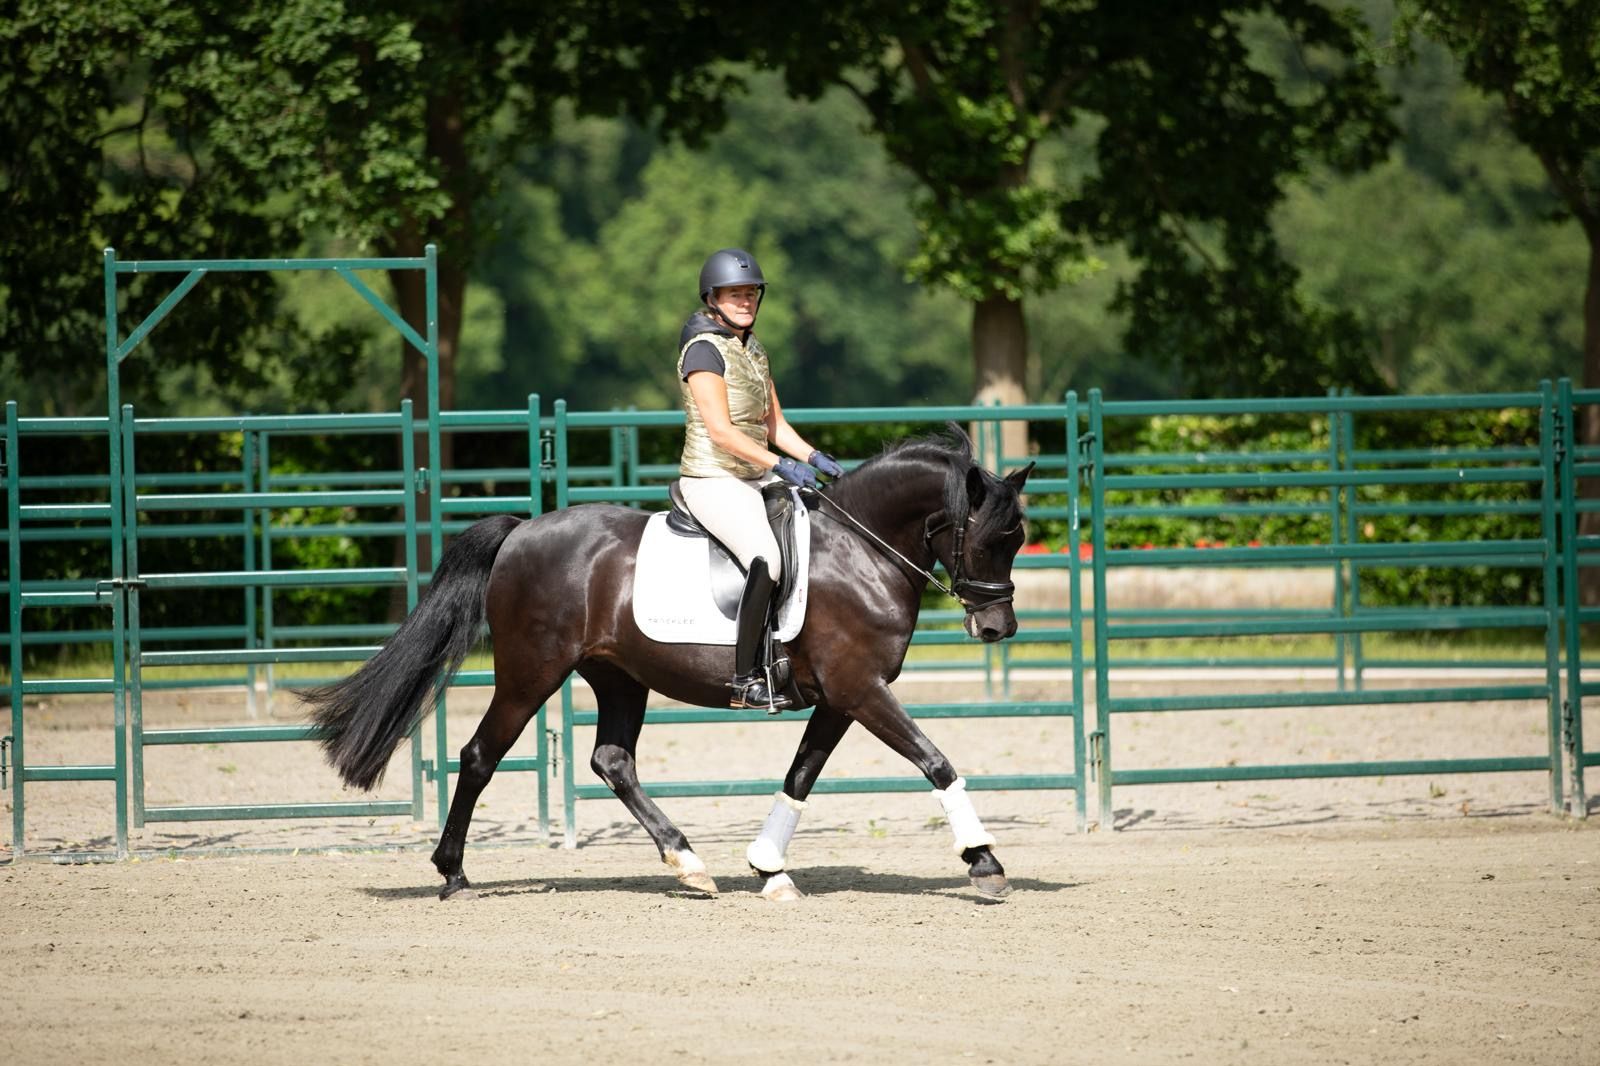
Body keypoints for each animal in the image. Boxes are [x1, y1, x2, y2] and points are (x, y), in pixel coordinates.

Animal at [304, 426, 1033, 902]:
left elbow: (800, 777)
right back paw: (454, 874)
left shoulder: (839, 696)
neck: (862, 549)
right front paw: (983, 863)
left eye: (1018, 538)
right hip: (530, 672)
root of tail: (522, 531)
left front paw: (768, 869)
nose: (999, 627)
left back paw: (687, 862)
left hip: (619, 677)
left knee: (612, 761)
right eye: (993, 538)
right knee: (481, 755)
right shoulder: (860, 688)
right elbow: (936, 761)